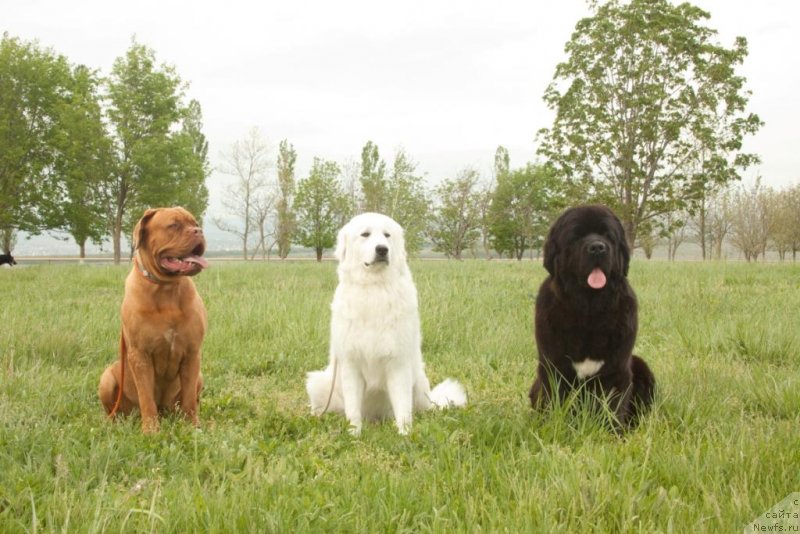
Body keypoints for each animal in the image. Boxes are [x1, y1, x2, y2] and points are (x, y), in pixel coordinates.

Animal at [99, 207, 209, 434]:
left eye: (194, 223)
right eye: (174, 225)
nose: (199, 230)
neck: (166, 288)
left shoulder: (192, 353)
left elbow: (189, 400)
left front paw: (193, 426)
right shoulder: (140, 355)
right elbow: (146, 398)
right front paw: (151, 430)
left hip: (200, 376)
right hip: (107, 377)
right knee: (114, 409)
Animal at [306, 213, 468, 436]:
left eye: (387, 235)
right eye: (365, 234)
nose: (382, 249)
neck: (374, 287)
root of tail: (374, 418)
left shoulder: (398, 364)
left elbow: (403, 408)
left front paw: (405, 435)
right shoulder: (350, 364)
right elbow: (353, 409)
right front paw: (354, 434)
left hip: (419, 383)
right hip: (320, 382)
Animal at [528, 207, 652, 430]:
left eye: (607, 235)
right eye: (576, 236)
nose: (597, 248)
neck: (588, 311)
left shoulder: (617, 369)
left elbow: (612, 406)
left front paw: (613, 433)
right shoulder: (553, 367)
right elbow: (554, 401)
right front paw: (553, 428)